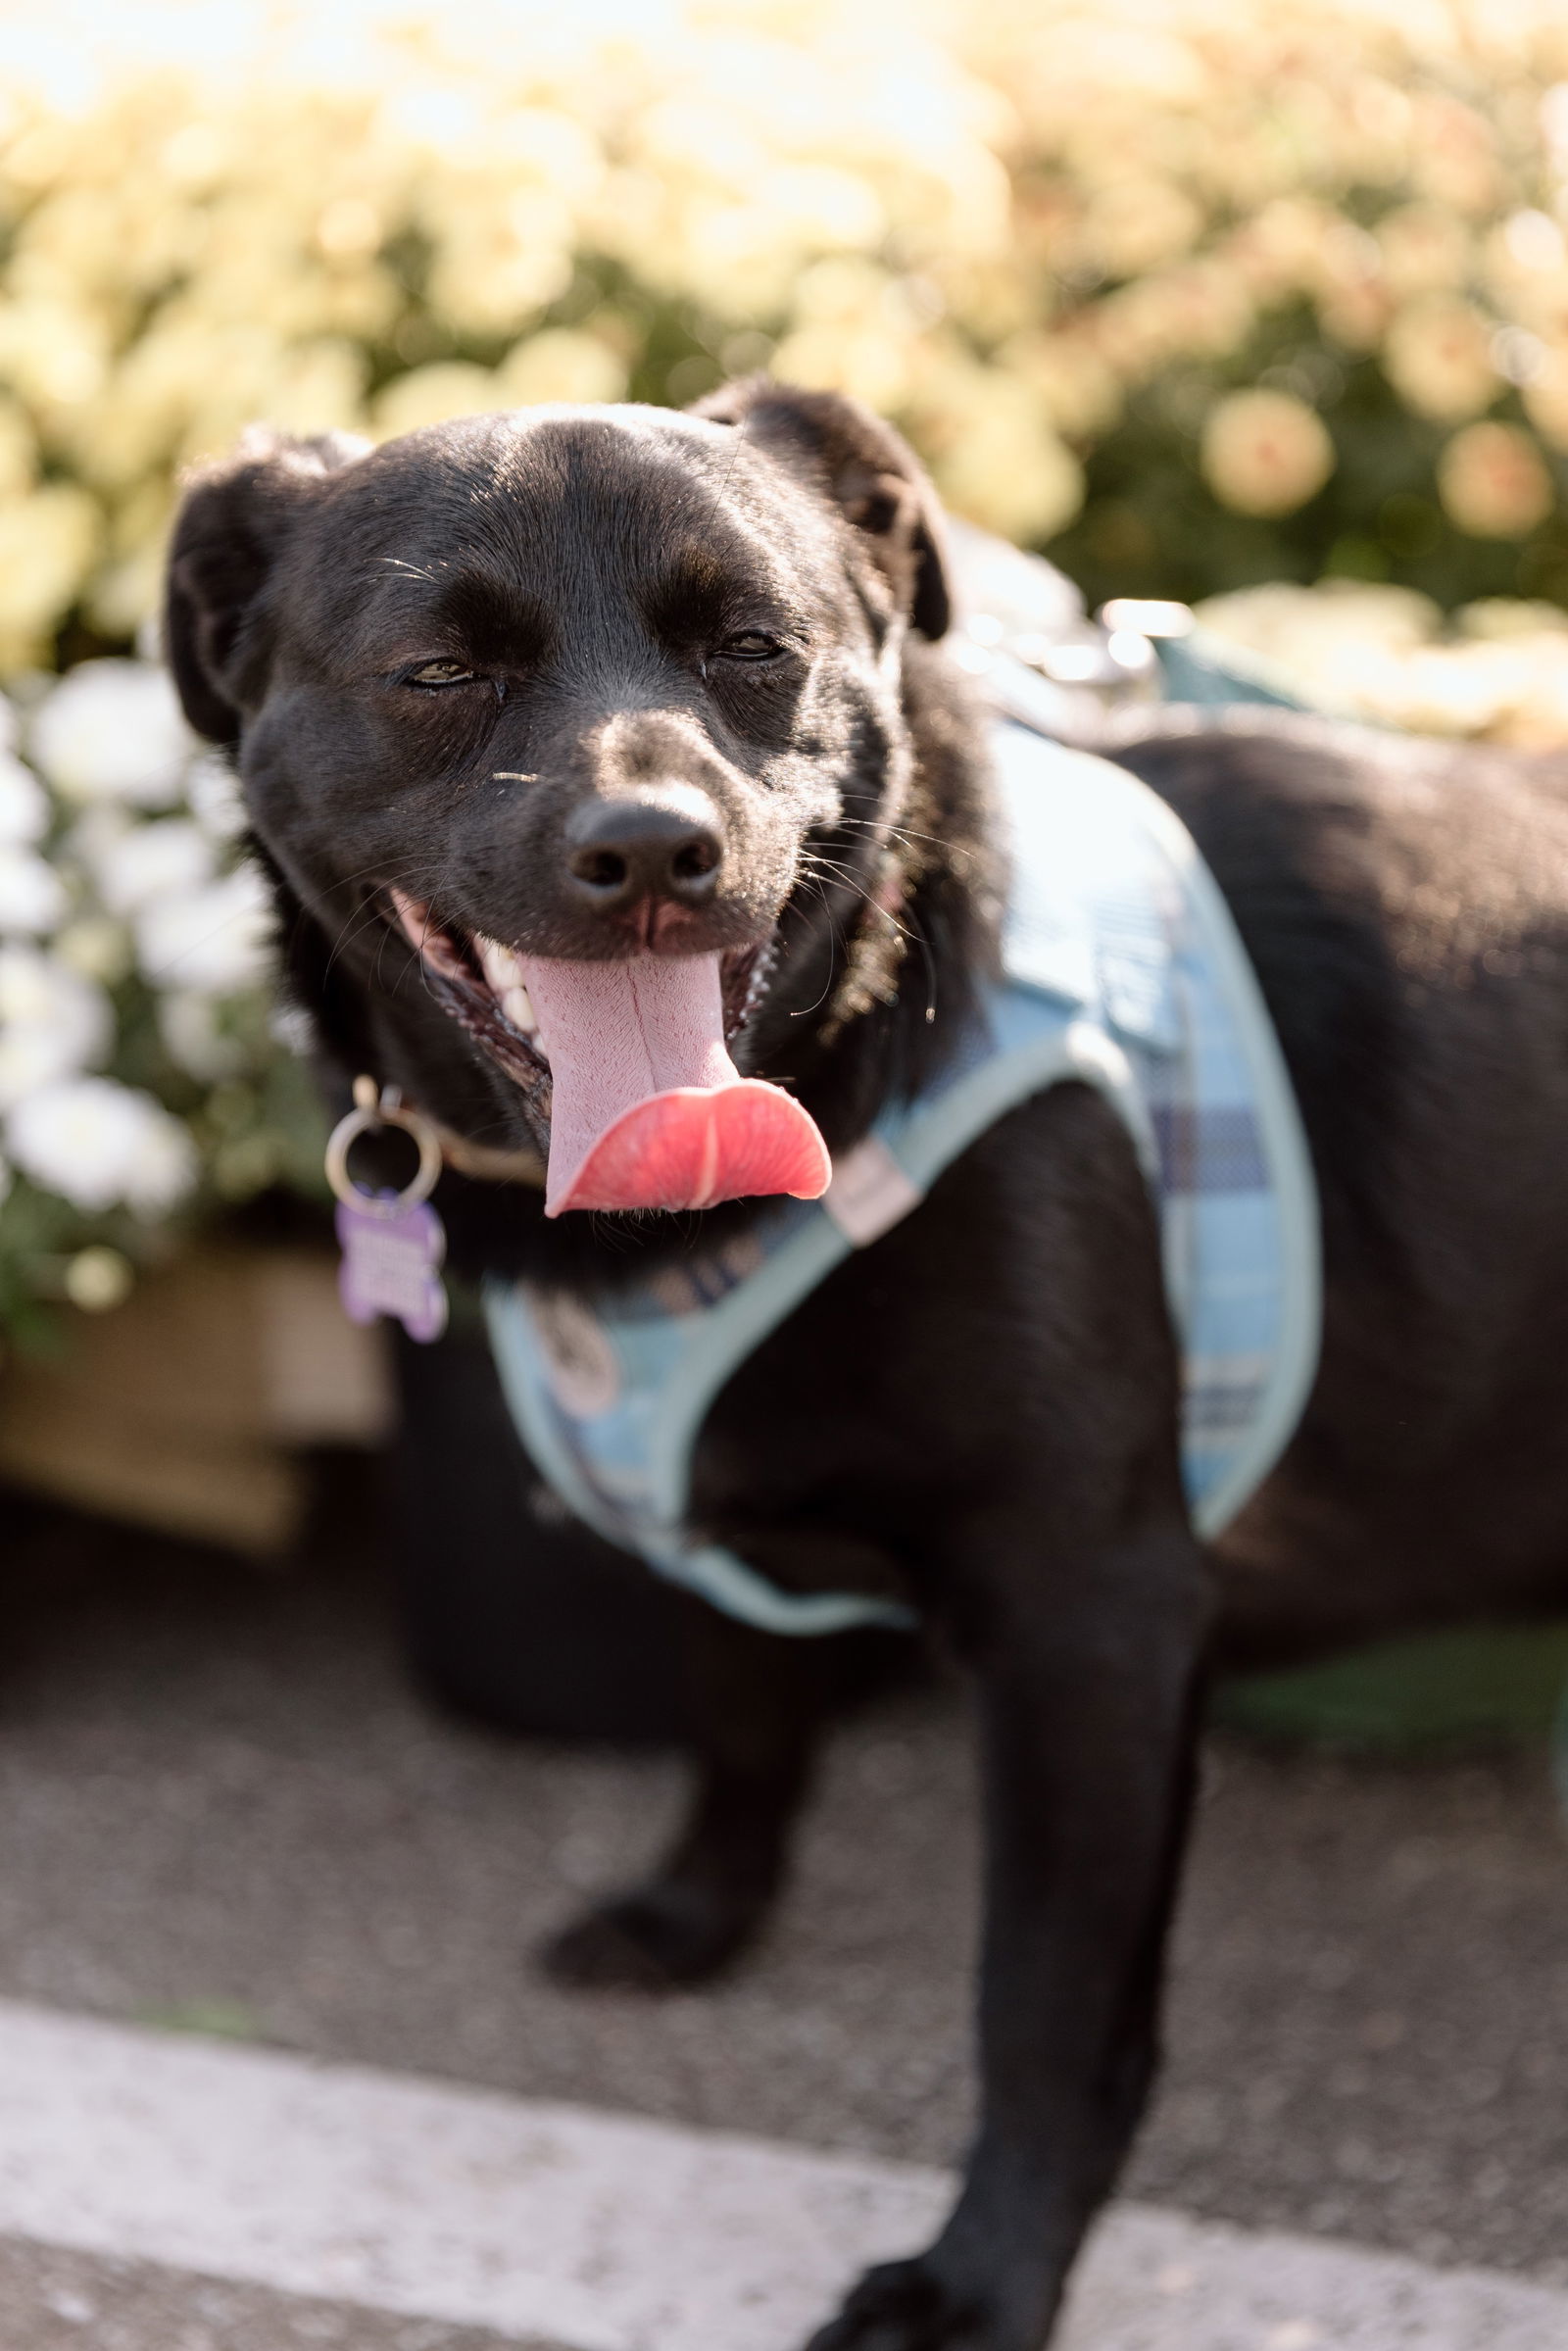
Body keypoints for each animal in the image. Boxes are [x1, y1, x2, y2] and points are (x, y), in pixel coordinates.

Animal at [166, 375, 1568, 2341]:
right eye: (438, 667)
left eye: (757, 647)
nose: (653, 850)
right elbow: (744, 1706)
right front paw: (698, 1911)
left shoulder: (1094, 1618)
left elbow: (1044, 2003)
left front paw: (979, 2280)